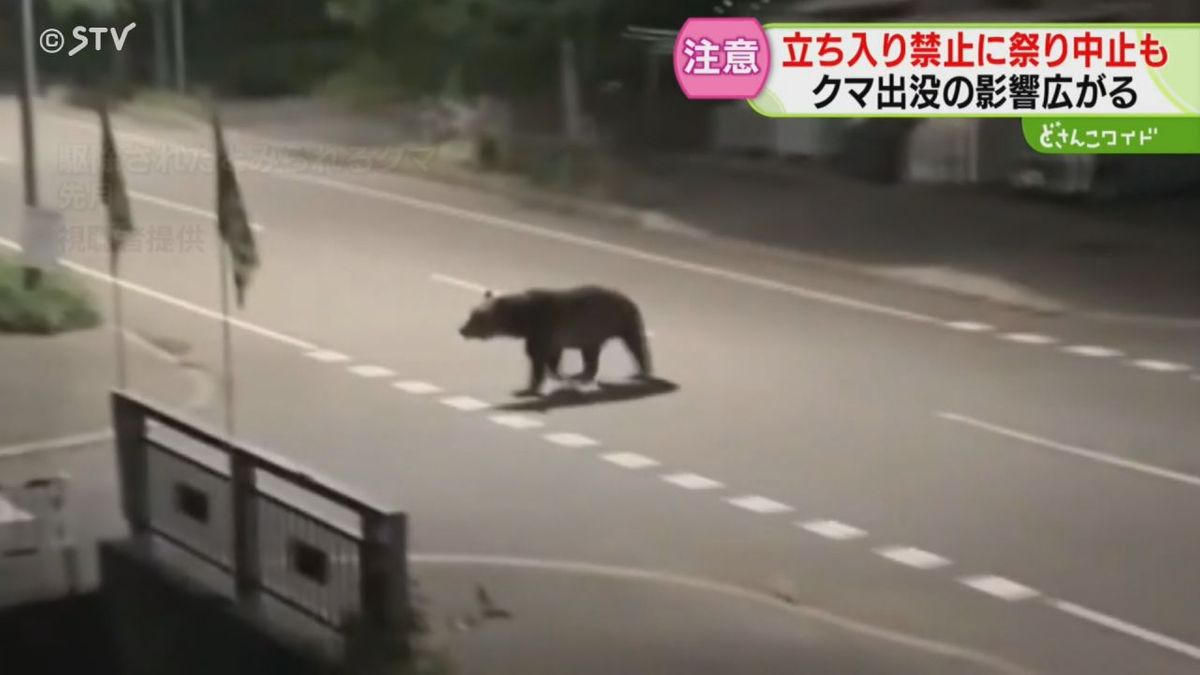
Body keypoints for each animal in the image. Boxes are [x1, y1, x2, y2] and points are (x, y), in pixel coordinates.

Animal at [459, 286, 652, 397]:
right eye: (471, 313)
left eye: (477, 318)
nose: (461, 330)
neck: (522, 321)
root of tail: (630, 300)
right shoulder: (545, 335)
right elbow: (550, 357)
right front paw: (557, 375)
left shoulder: (543, 327)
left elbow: (538, 357)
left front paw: (528, 387)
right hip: (594, 331)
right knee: (591, 354)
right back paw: (582, 374)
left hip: (618, 321)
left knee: (636, 345)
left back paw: (642, 371)